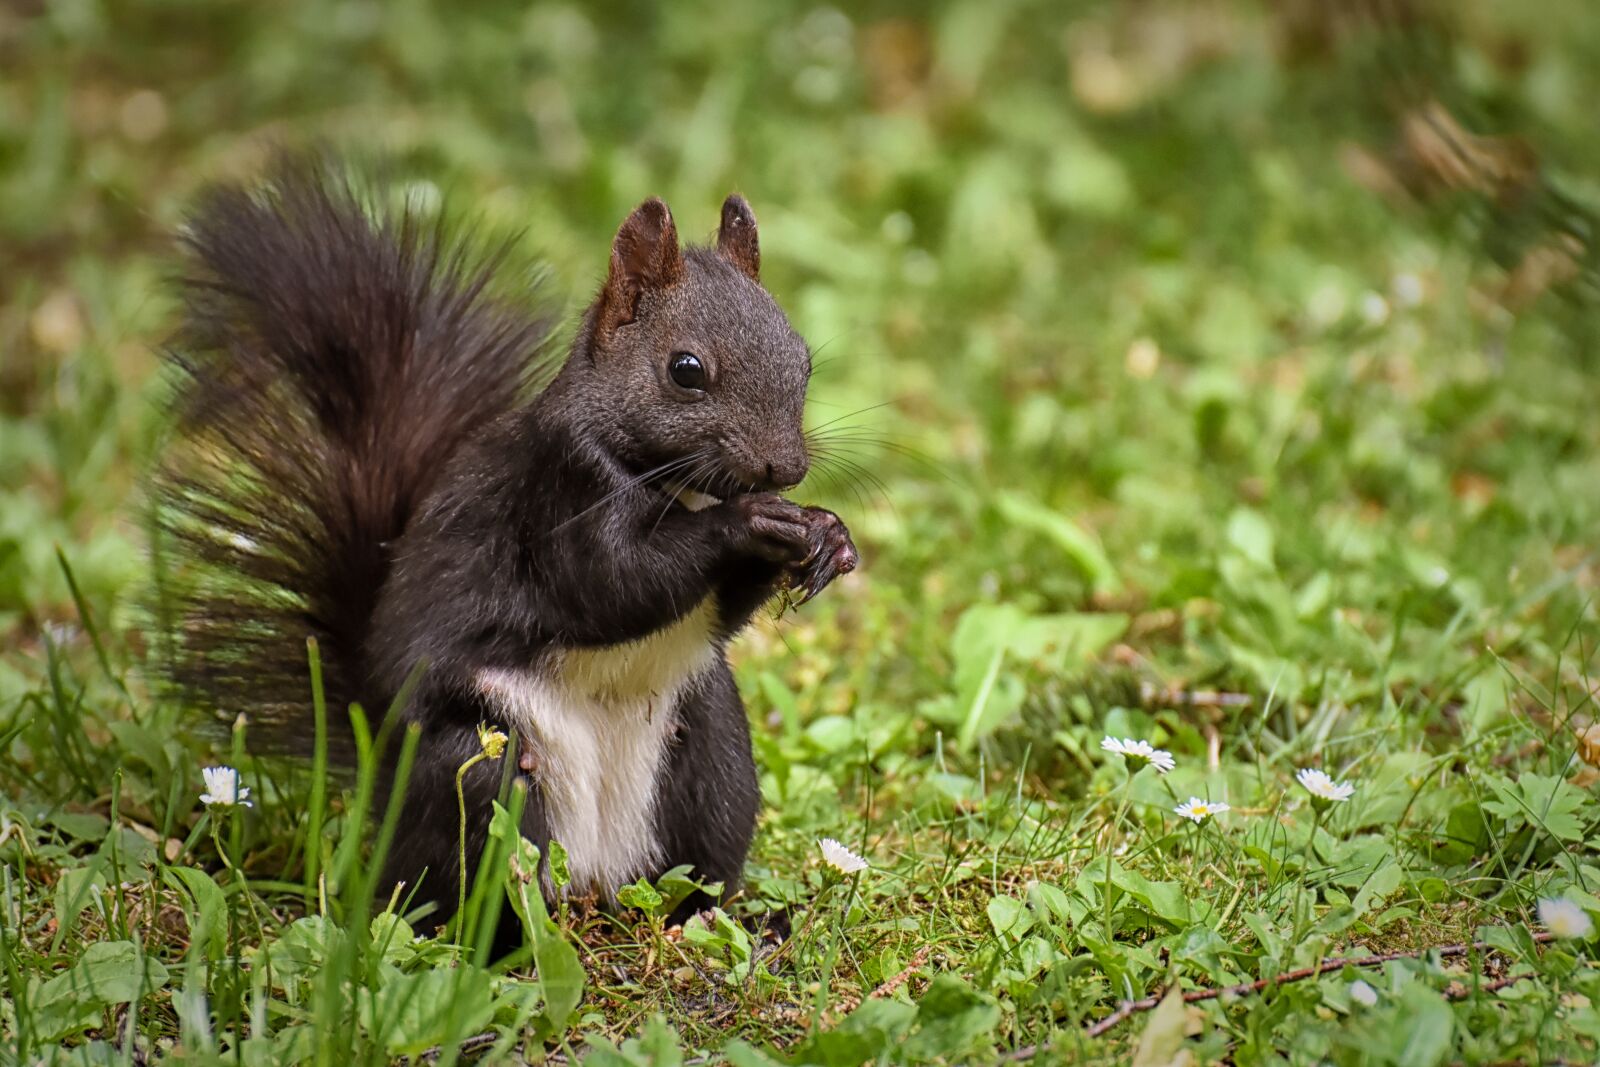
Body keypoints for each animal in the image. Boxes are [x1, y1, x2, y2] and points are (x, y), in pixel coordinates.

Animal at [152, 154, 858, 937]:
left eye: (803, 359)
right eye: (686, 369)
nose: (784, 468)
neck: (681, 485)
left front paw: (826, 533)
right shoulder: (558, 492)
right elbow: (613, 583)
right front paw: (748, 525)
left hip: (713, 755)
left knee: (688, 870)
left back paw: (731, 924)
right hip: (479, 771)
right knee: (464, 878)